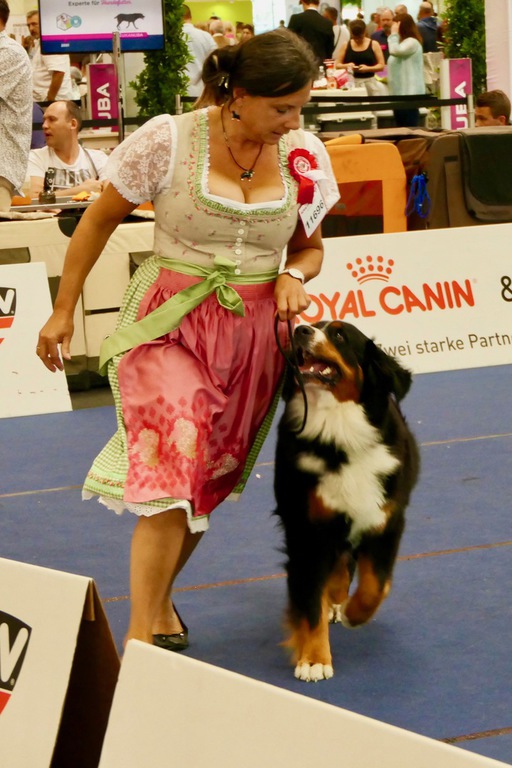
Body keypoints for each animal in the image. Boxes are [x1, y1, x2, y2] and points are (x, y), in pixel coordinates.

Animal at [274, 320, 419, 682]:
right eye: (313, 323)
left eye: (339, 334)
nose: (299, 329)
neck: (338, 432)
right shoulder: (307, 529)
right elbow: (310, 601)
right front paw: (314, 659)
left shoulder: (386, 519)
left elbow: (376, 584)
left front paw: (355, 613)